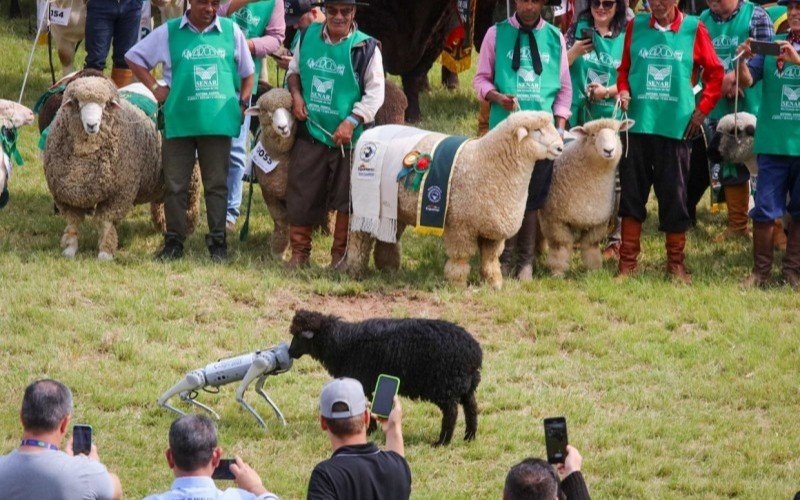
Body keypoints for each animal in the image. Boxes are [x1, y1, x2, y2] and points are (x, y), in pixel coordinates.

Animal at [43, 77, 200, 262]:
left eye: (105, 105)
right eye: (78, 104)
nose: (91, 125)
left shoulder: (119, 193)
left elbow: (106, 222)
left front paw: (105, 252)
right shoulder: (66, 197)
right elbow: (73, 223)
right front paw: (70, 249)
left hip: (190, 174)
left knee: (190, 201)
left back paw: (188, 228)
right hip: (158, 177)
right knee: (161, 200)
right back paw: (162, 223)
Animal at [288, 308, 482, 446]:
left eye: (299, 336)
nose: (290, 352)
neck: (340, 344)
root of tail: (474, 351)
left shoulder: (362, 381)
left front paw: (369, 430)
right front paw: (371, 429)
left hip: (445, 385)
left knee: (451, 412)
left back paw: (442, 441)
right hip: (466, 385)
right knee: (471, 408)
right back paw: (469, 437)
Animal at [346, 109, 564, 290]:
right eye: (537, 130)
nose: (560, 148)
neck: (487, 163)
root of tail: (370, 133)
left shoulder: (493, 230)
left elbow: (491, 259)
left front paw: (494, 283)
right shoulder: (460, 225)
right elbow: (461, 256)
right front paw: (457, 283)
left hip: (394, 208)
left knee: (389, 237)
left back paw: (389, 269)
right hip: (365, 201)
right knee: (360, 238)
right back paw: (355, 271)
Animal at [536, 119, 636, 280]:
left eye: (616, 133)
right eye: (592, 135)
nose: (609, 150)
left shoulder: (598, 221)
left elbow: (591, 245)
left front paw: (594, 270)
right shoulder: (554, 219)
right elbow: (560, 245)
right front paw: (557, 271)